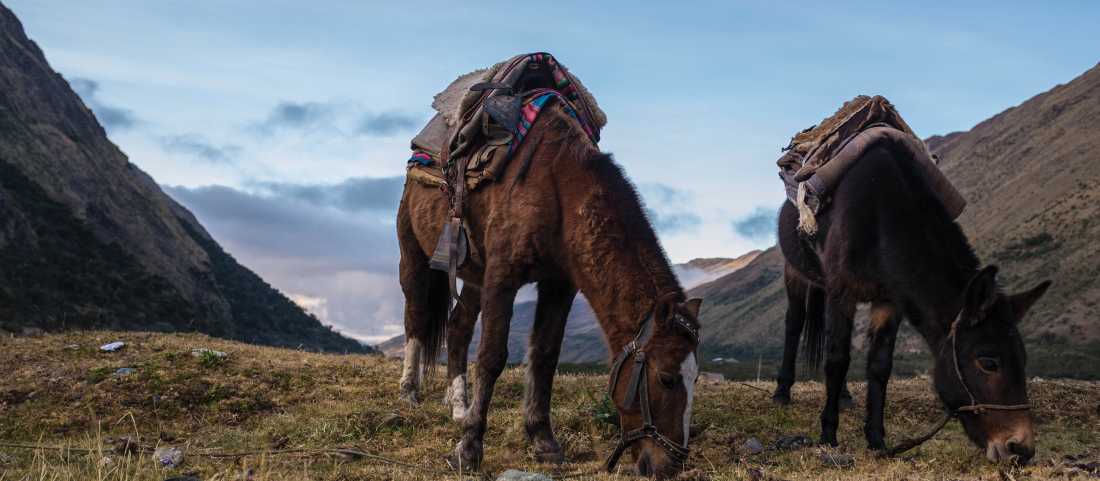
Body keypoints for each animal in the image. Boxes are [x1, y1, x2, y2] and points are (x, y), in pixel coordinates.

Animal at [396, 103, 702, 477]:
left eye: (695, 379)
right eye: (667, 378)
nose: (670, 466)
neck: (560, 193)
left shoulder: (558, 285)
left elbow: (544, 357)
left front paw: (544, 441)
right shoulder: (502, 278)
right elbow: (491, 358)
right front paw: (468, 450)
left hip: (472, 277)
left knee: (457, 329)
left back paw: (458, 406)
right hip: (414, 256)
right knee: (416, 317)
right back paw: (410, 392)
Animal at [774, 140, 1050, 463]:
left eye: (1023, 360)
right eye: (988, 363)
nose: (1021, 450)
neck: (881, 218)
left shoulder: (889, 302)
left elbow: (880, 367)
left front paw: (877, 441)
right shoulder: (841, 293)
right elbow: (837, 359)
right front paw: (828, 436)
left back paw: (843, 396)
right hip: (795, 272)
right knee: (794, 323)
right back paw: (782, 391)